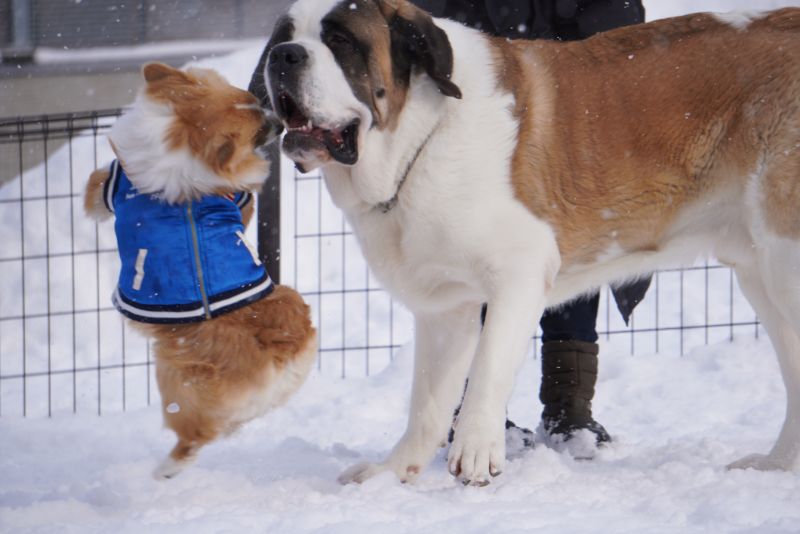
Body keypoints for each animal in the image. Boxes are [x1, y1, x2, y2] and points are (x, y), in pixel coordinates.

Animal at [83, 63, 316, 482]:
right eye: (256, 115)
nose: (279, 123)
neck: (180, 132)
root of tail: (273, 345)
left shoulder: (111, 183)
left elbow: (93, 190)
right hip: (290, 314)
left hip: (175, 376)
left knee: (193, 437)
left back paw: (165, 471)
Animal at [250, 0, 800, 488]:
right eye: (284, 36)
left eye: (341, 41)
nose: (284, 56)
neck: (420, 138)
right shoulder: (447, 309)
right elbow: (428, 401)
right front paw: (392, 473)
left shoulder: (520, 272)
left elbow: (487, 369)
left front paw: (475, 455)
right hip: (762, 276)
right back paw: (776, 466)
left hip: (783, 258)